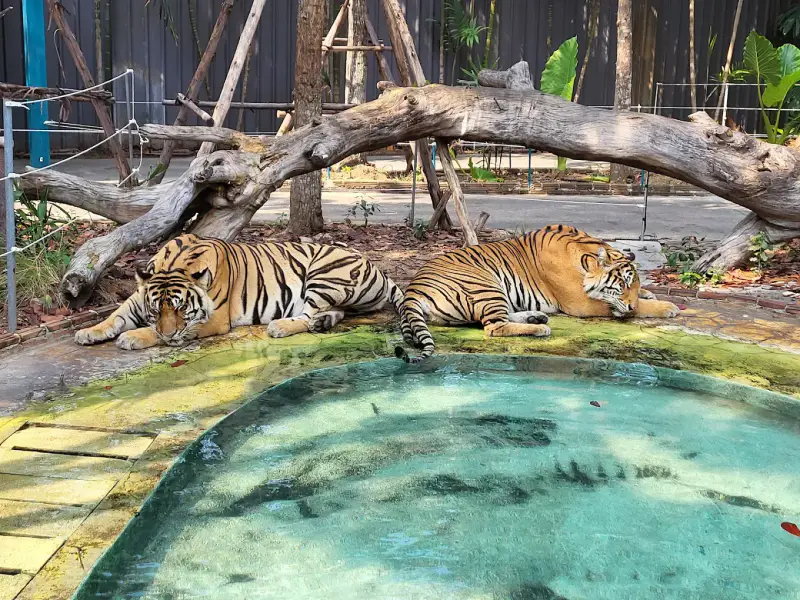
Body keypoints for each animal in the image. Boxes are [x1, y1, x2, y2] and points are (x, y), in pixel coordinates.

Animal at [75, 234, 404, 350]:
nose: (170, 332)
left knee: (306, 314)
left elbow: (159, 333)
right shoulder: (137, 300)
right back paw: (323, 322)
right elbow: (116, 316)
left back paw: (280, 326)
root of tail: (379, 268)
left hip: (325, 271)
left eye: (181, 309)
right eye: (156, 309)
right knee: (332, 311)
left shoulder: (215, 320)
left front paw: (133, 337)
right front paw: (89, 332)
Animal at [395, 224, 680, 363]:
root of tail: (413, 290)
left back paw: (536, 317)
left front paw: (649, 295)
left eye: (634, 284)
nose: (629, 306)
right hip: (485, 283)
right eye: (622, 284)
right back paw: (540, 327)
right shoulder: (579, 303)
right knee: (493, 327)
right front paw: (667, 307)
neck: (584, 254)